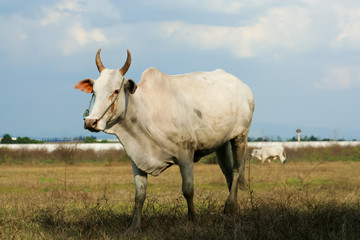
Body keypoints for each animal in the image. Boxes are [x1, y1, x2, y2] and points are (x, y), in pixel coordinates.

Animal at [74, 48, 253, 234]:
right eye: (94, 92)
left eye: (116, 91)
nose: (91, 122)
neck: (145, 112)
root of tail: (243, 87)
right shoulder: (136, 159)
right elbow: (140, 194)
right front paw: (134, 227)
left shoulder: (185, 156)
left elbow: (188, 190)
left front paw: (192, 222)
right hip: (222, 144)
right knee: (228, 174)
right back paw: (232, 212)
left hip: (241, 136)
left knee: (236, 170)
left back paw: (231, 207)